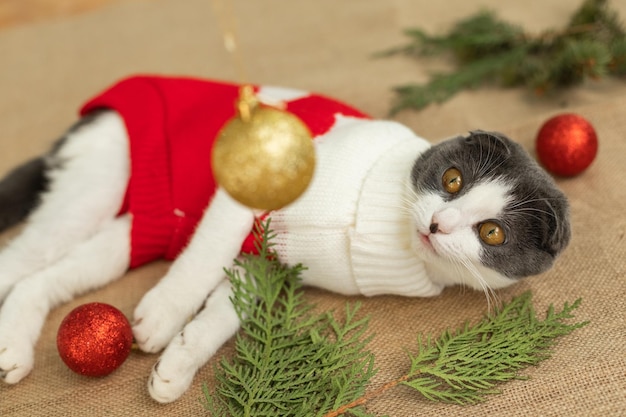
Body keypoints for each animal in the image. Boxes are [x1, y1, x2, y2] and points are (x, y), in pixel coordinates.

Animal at [0, 75, 568, 404]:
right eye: (453, 180)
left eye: (491, 232)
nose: (438, 225)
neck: (377, 221)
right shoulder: (242, 195)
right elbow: (202, 262)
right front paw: (163, 313)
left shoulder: (265, 262)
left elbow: (227, 309)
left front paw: (178, 365)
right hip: (99, 184)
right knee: (20, 258)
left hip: (134, 229)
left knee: (42, 278)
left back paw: (15, 347)